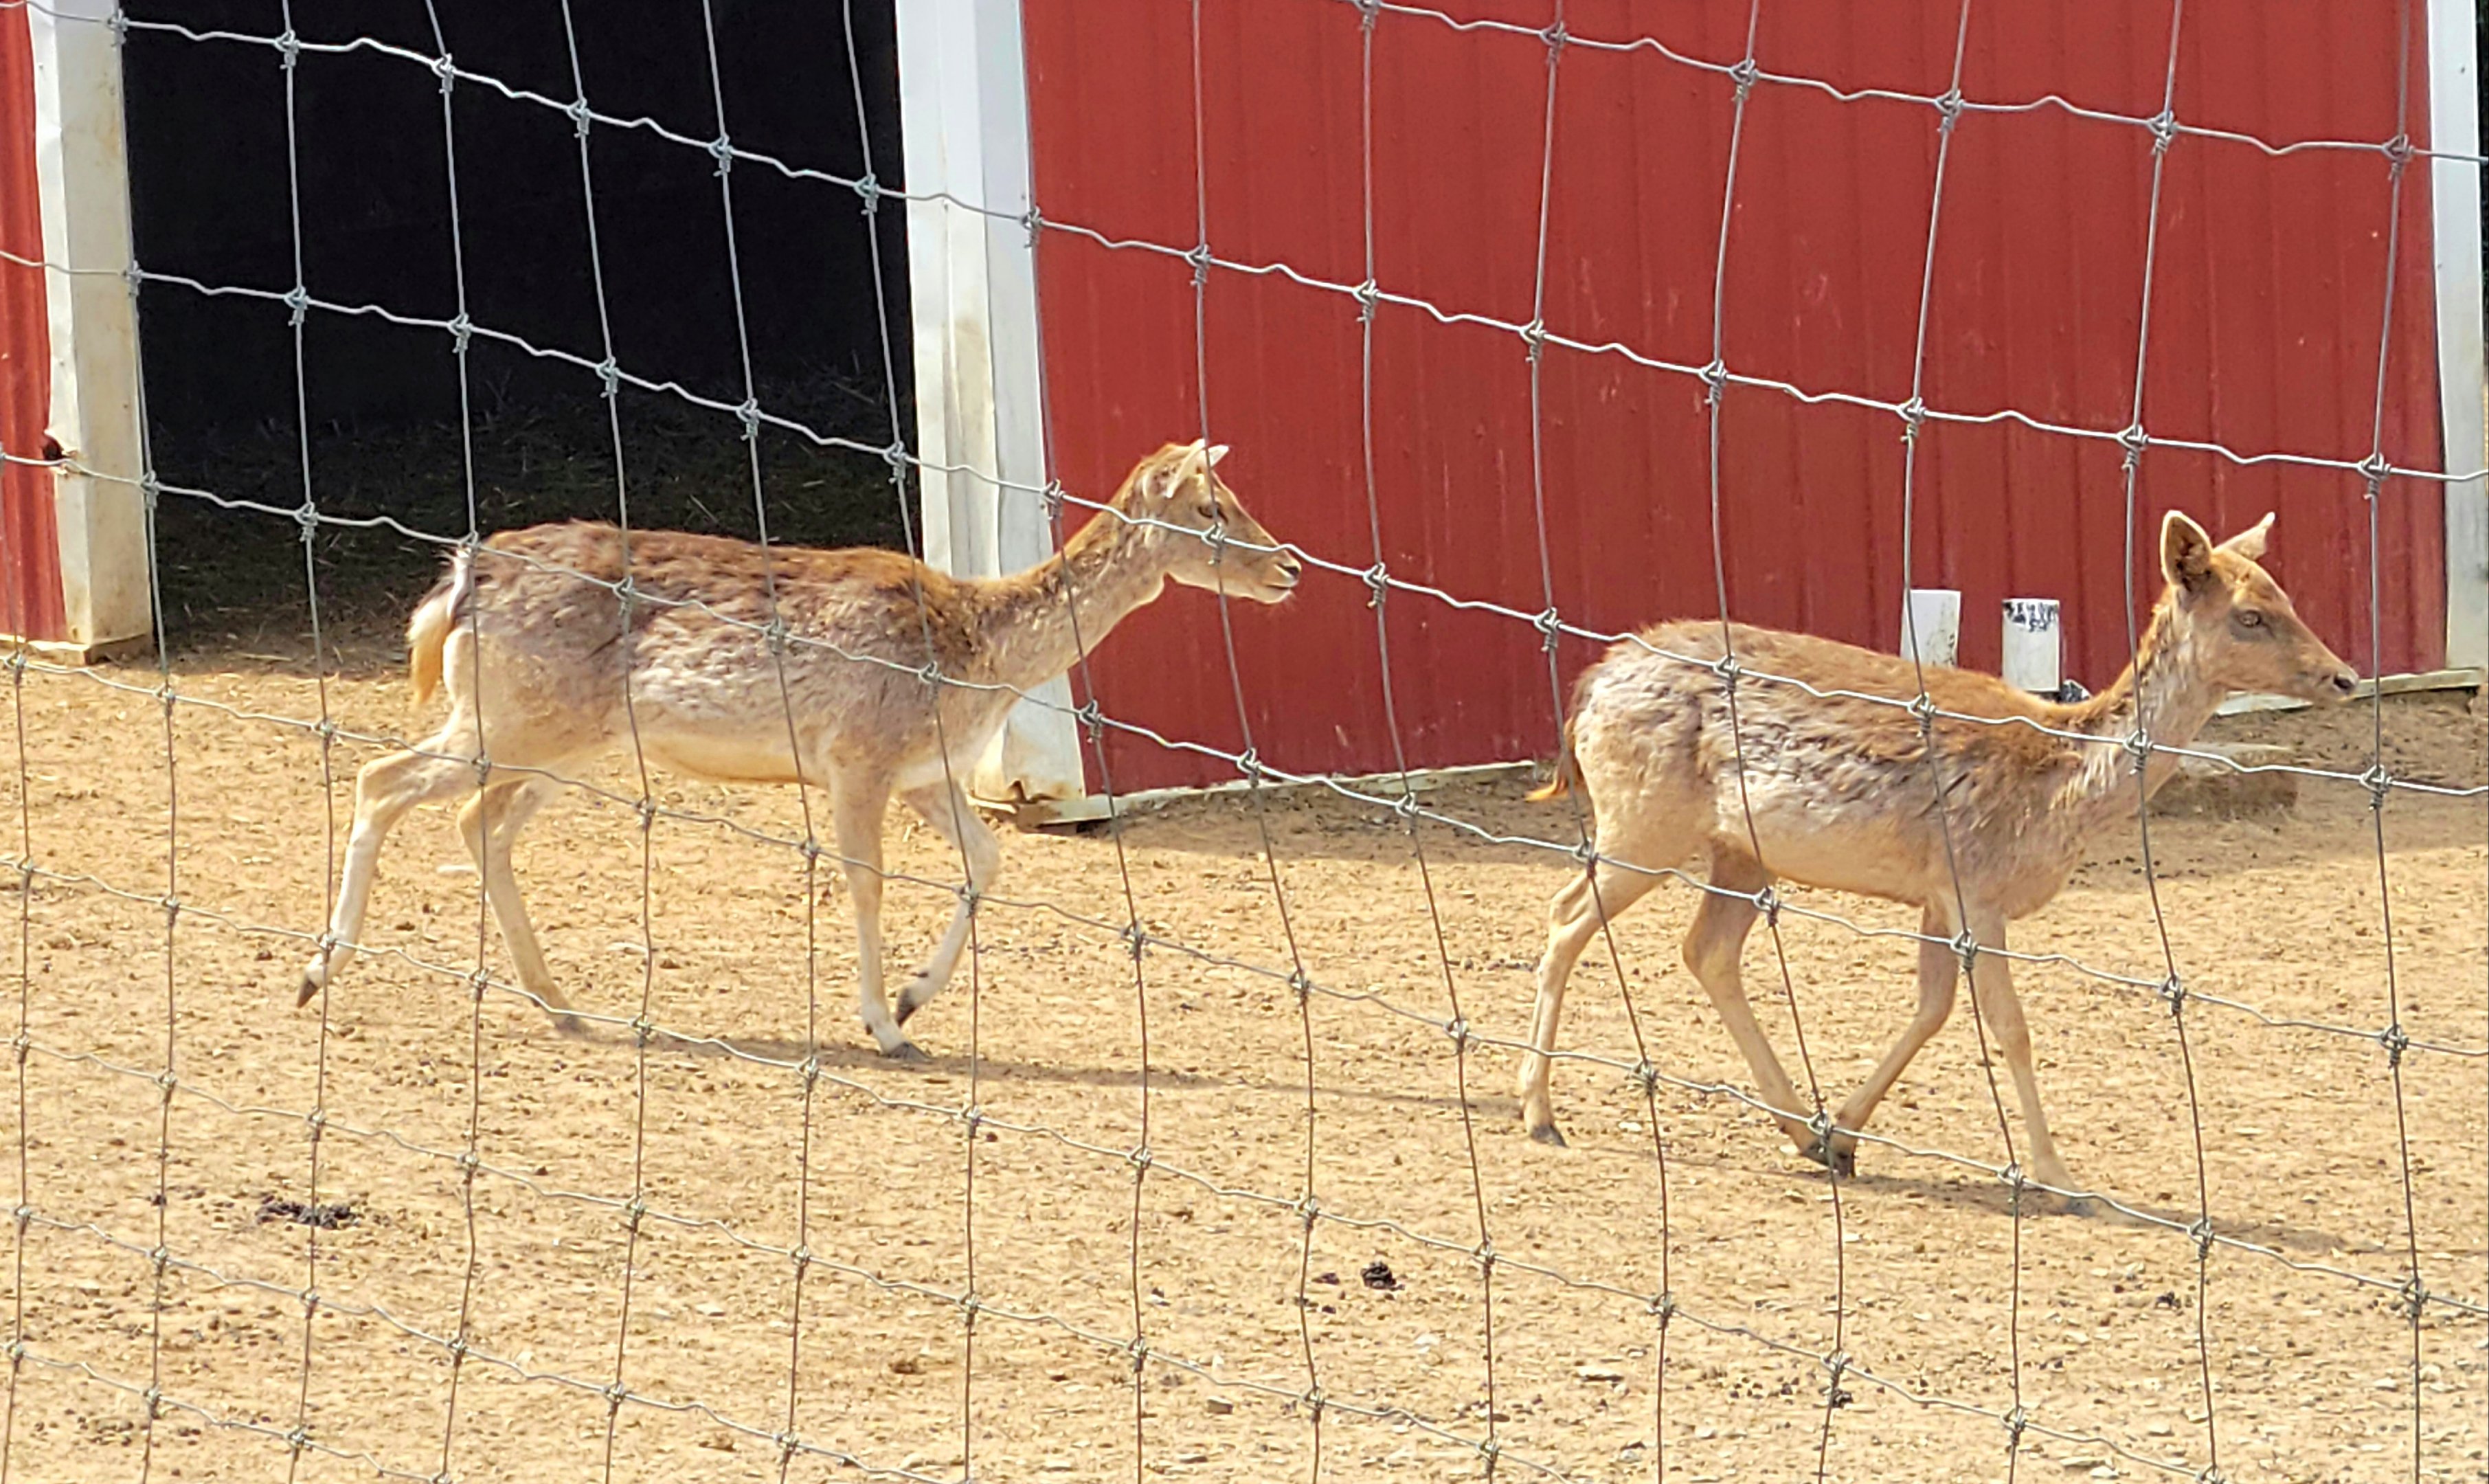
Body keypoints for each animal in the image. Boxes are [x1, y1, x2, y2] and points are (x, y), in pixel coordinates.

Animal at [296, 439, 1299, 1058]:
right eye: (1211, 508)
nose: (1288, 566)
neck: (980, 659)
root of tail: (460, 581)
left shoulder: (925, 771)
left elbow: (987, 861)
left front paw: (912, 996)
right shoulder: (857, 753)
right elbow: (866, 881)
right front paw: (884, 1024)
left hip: (558, 740)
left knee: (477, 822)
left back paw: (561, 1003)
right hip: (512, 720)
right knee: (383, 778)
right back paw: (319, 971)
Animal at [1516, 510, 2357, 1193]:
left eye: (2286, 598)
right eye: (2250, 615)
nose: (2343, 676)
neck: (2062, 792)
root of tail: (1591, 684)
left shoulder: (1935, 891)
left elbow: (1932, 1008)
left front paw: (1843, 1132)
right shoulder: (1976, 882)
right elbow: (2008, 1025)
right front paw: (2056, 1174)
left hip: (1736, 849)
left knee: (1705, 950)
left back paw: (1797, 1127)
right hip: (1644, 817)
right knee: (1565, 917)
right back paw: (1538, 1112)